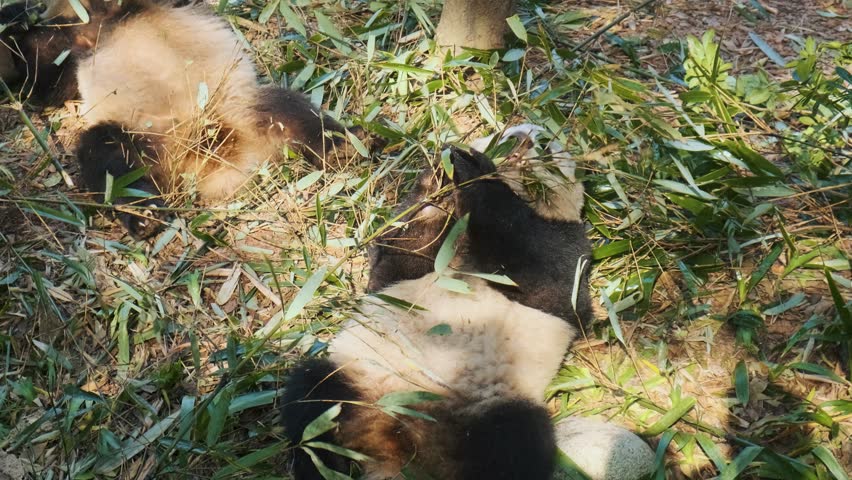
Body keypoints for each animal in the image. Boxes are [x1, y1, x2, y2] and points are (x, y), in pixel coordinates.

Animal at [0, 0, 361, 236]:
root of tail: (204, 159)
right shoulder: (69, 44)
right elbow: (43, 82)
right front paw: (14, 19)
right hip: (140, 137)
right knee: (108, 155)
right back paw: (144, 216)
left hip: (243, 105)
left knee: (293, 112)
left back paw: (341, 147)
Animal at [280, 125, 594, 480]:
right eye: (503, 132)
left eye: (548, 146)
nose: (520, 139)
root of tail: (399, 447)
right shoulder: (409, 268)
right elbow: (400, 259)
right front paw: (438, 177)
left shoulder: (568, 242)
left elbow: (550, 278)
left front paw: (473, 168)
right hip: (356, 374)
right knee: (311, 400)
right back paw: (325, 464)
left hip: (495, 404)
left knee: (514, 445)